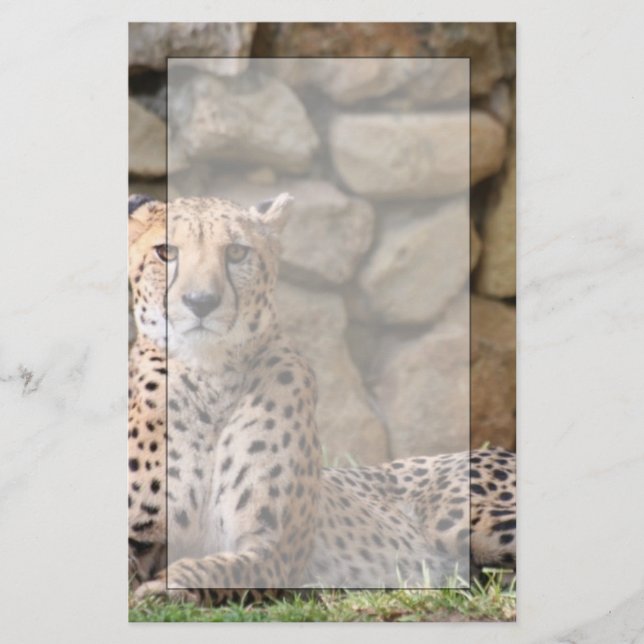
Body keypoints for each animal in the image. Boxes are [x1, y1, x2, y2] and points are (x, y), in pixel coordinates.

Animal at [128, 192, 516, 605]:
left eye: (235, 252)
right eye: (166, 252)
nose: (201, 301)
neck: (210, 375)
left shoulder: (274, 550)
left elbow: (213, 569)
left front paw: (162, 590)